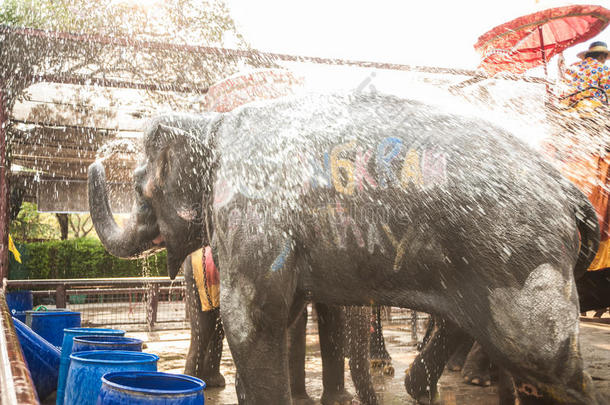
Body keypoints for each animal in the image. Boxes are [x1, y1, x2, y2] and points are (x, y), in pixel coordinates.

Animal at [86, 93, 604, 402]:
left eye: (139, 187)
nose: (96, 160)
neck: (212, 125)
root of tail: (568, 189)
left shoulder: (252, 216)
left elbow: (250, 319)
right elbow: (283, 315)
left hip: (520, 260)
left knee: (543, 359)